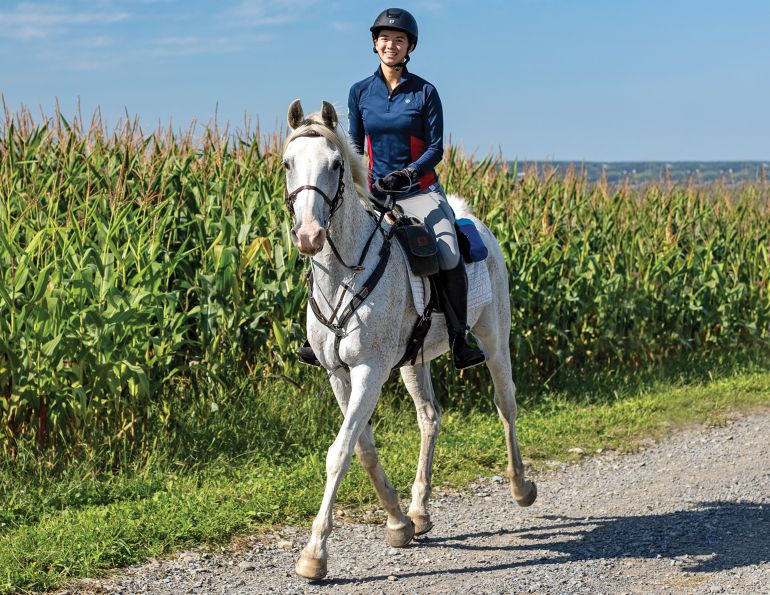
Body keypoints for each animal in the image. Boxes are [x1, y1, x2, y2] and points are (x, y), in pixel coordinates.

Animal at [282, 99, 537, 580]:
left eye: (336, 165)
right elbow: (362, 448)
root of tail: (474, 221)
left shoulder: (369, 370)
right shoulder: (339, 375)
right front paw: (398, 522)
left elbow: (339, 452)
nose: (309, 236)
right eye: (288, 164)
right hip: (414, 362)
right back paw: (419, 510)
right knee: (430, 418)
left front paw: (314, 554)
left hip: (495, 338)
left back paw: (520, 487)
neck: (344, 273)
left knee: (506, 404)